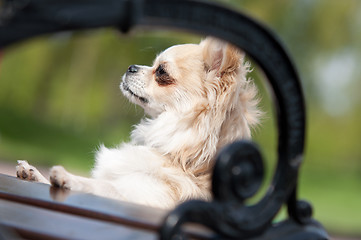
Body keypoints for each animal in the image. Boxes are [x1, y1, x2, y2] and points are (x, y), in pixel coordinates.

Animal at [15, 37, 260, 208]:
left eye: (161, 71)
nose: (131, 67)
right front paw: (33, 173)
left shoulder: (140, 197)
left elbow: (100, 185)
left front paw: (68, 178)